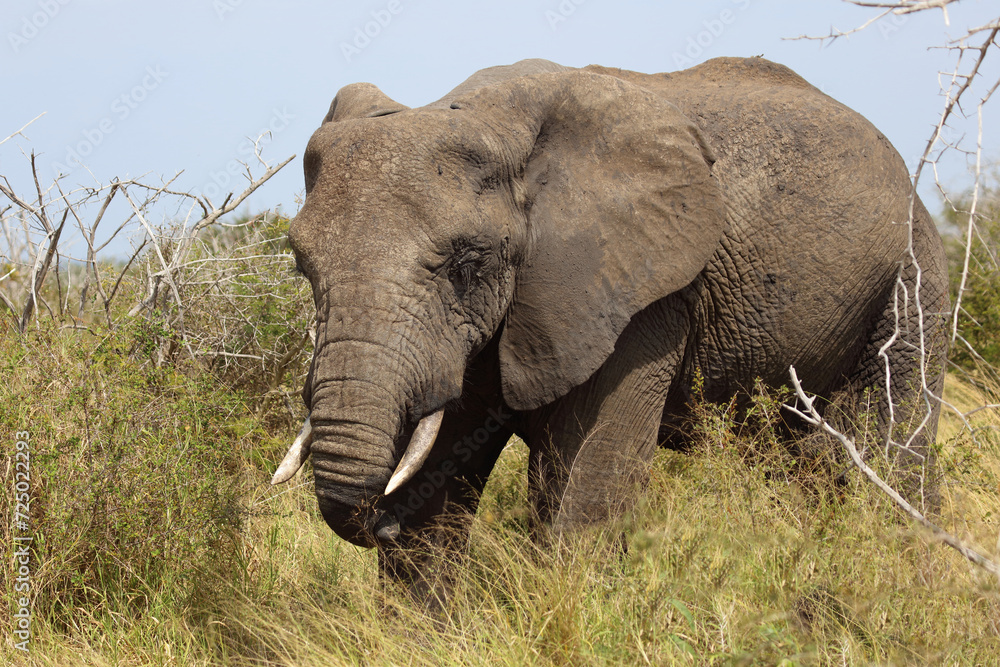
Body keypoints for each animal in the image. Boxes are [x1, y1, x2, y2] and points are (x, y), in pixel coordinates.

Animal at [272, 57, 950, 588]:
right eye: (302, 262)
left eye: (467, 263)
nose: (380, 518)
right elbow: (441, 482)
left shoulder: (640, 293)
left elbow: (585, 490)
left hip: (913, 281)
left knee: (888, 453)